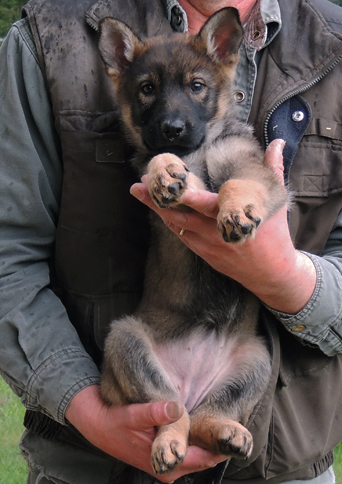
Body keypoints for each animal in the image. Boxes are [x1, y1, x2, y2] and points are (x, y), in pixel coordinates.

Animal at [97, 6, 288, 476]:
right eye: (147, 90)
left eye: (197, 87)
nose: (172, 128)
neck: (197, 151)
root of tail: (190, 385)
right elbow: (159, 163)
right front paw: (167, 170)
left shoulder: (254, 170)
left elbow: (238, 181)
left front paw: (236, 210)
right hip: (126, 341)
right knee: (174, 413)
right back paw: (169, 441)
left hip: (256, 362)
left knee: (203, 417)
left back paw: (226, 432)